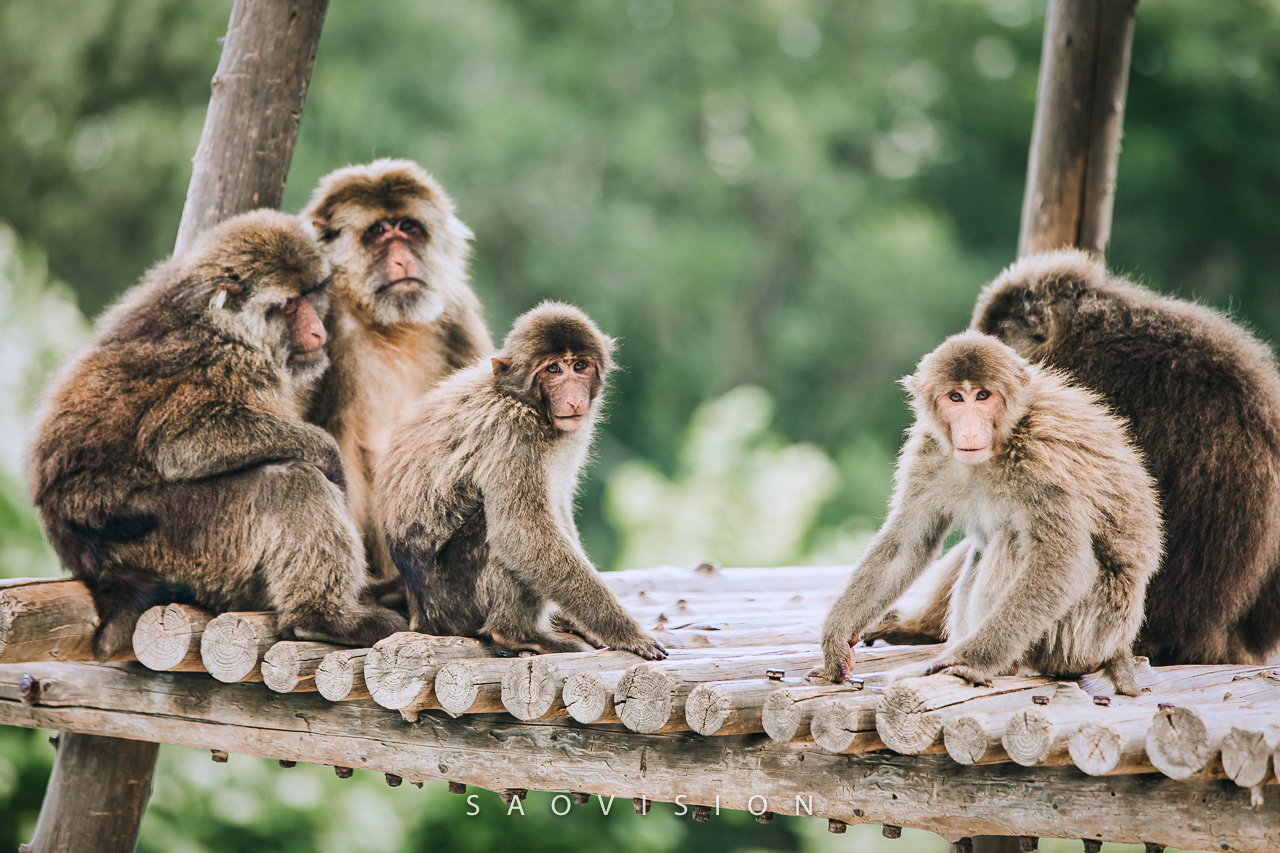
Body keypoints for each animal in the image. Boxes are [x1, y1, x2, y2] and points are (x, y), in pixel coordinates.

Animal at [373, 300, 665, 655]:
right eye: (554, 370)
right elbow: (522, 531)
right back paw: (514, 633)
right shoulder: (512, 431)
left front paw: (578, 622)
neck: (526, 402)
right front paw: (625, 632)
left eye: (579, 366)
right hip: (455, 603)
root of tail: (422, 617)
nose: (574, 399)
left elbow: (558, 508)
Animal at [819, 327, 1162, 696]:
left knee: (1014, 539)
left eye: (983, 396)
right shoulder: (929, 450)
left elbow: (1063, 563)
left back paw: (994, 664)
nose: (969, 429)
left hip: (1082, 633)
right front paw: (838, 633)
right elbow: (907, 544)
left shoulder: (1044, 459)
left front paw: (968, 660)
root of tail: (1117, 645)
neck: (1002, 444)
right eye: (956, 398)